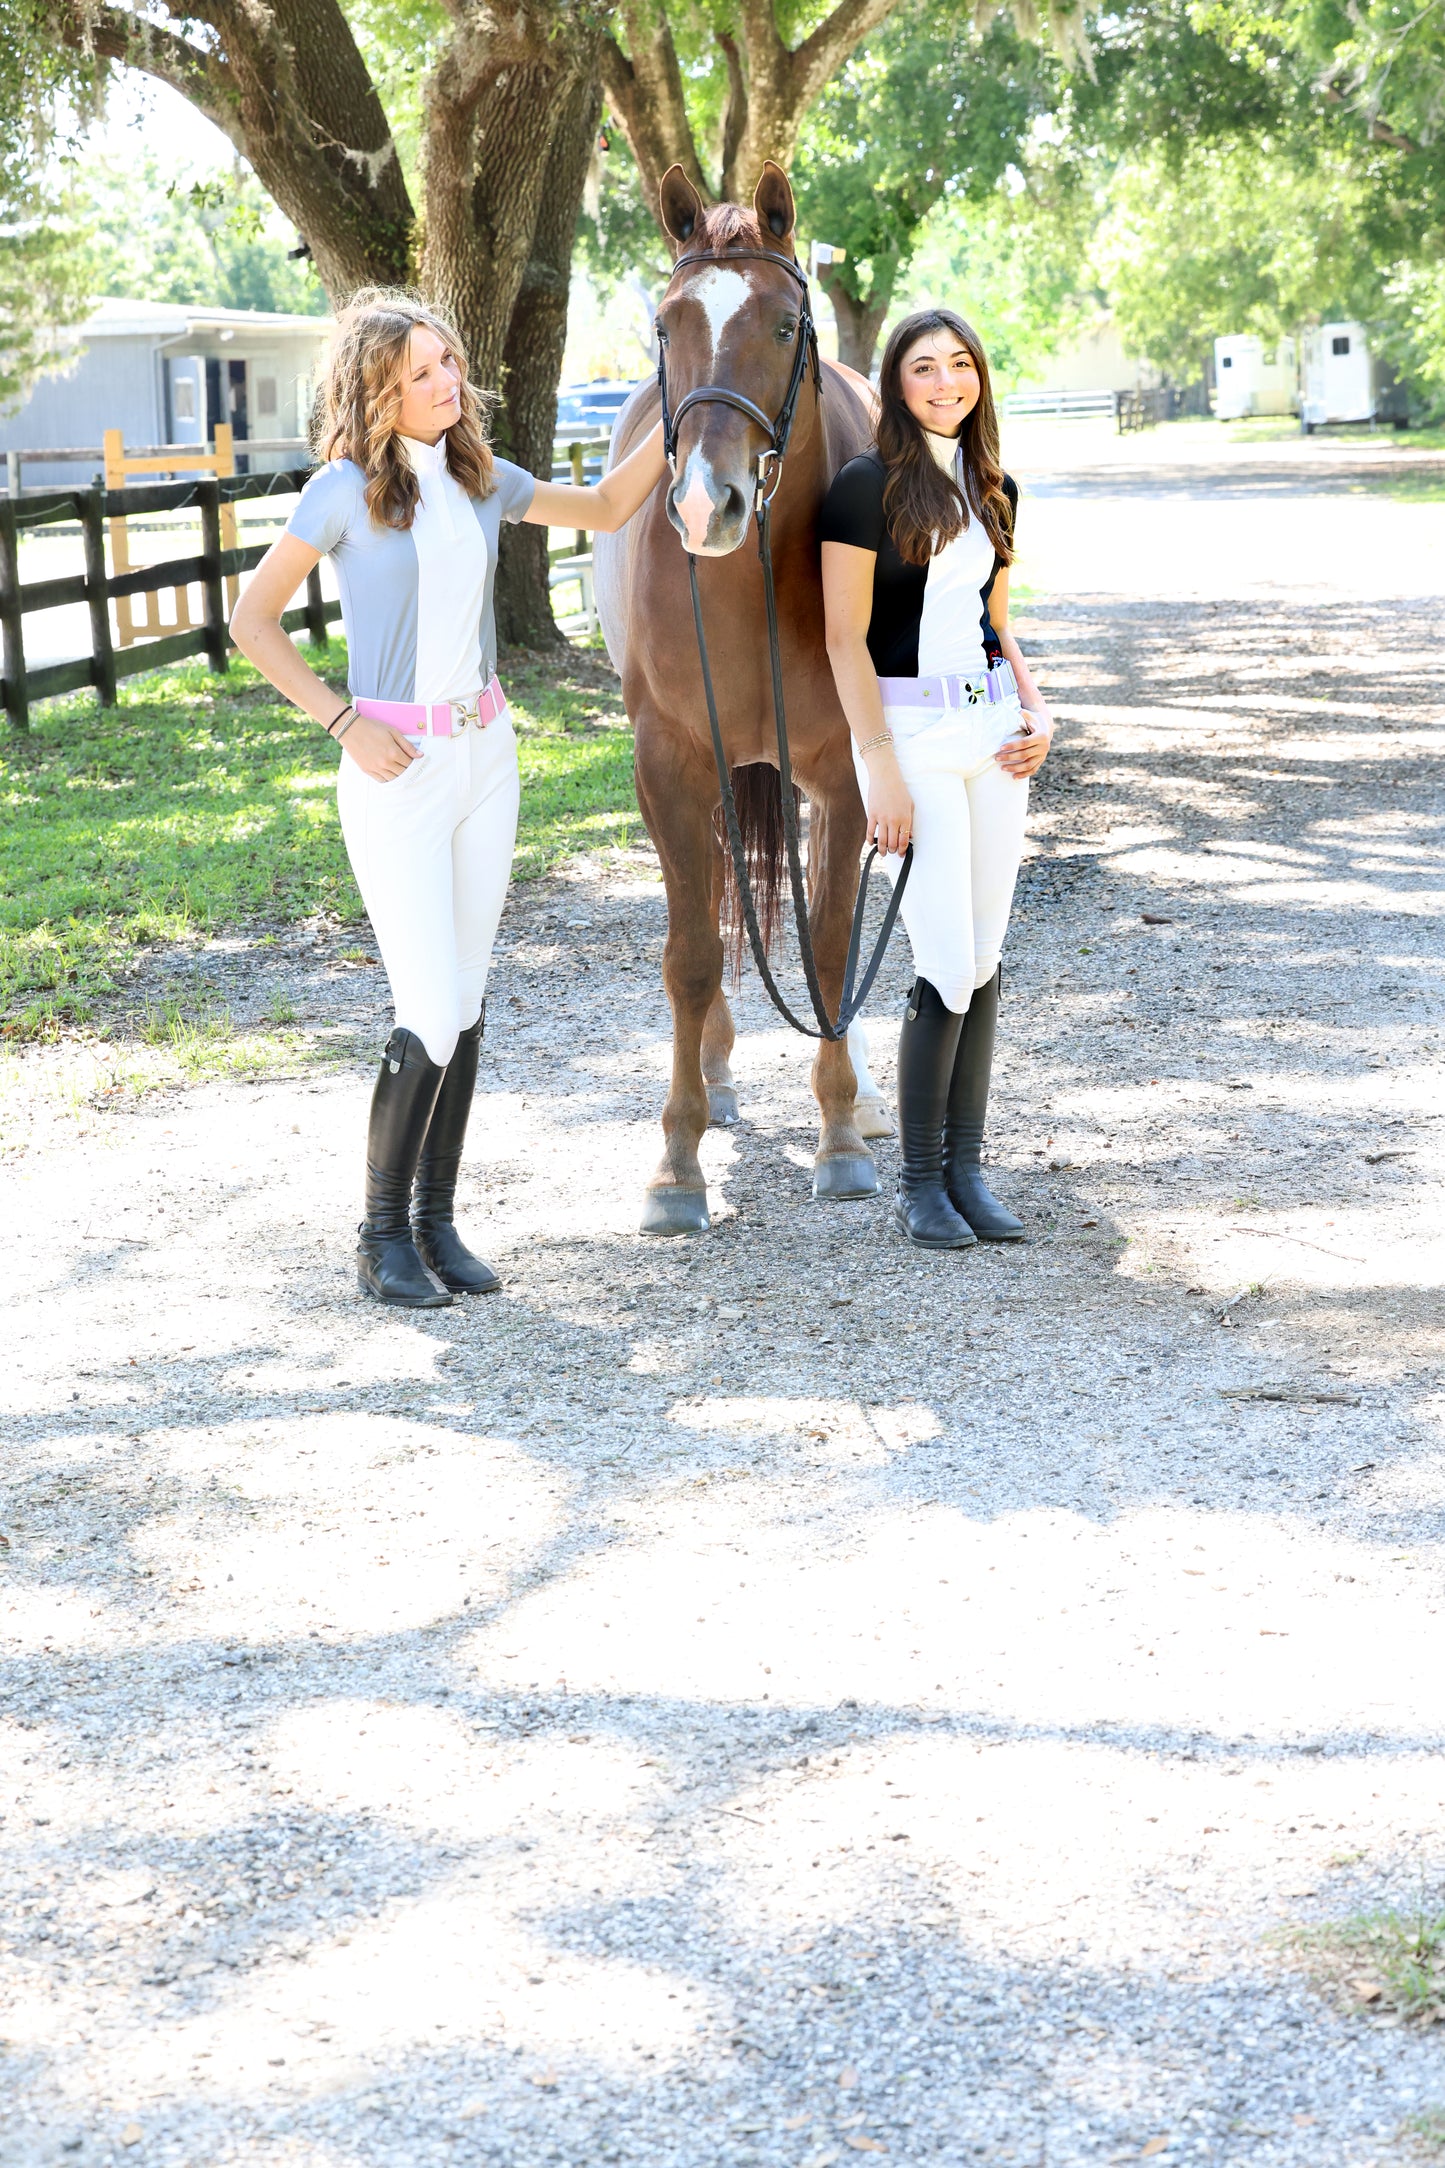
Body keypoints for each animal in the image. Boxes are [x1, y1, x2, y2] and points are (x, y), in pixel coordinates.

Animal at [595, 159, 886, 1236]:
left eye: (784, 324)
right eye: (666, 322)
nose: (701, 502)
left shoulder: (844, 775)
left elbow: (834, 946)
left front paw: (840, 1136)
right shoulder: (671, 762)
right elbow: (687, 954)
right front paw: (676, 1163)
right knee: (717, 895)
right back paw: (716, 1076)